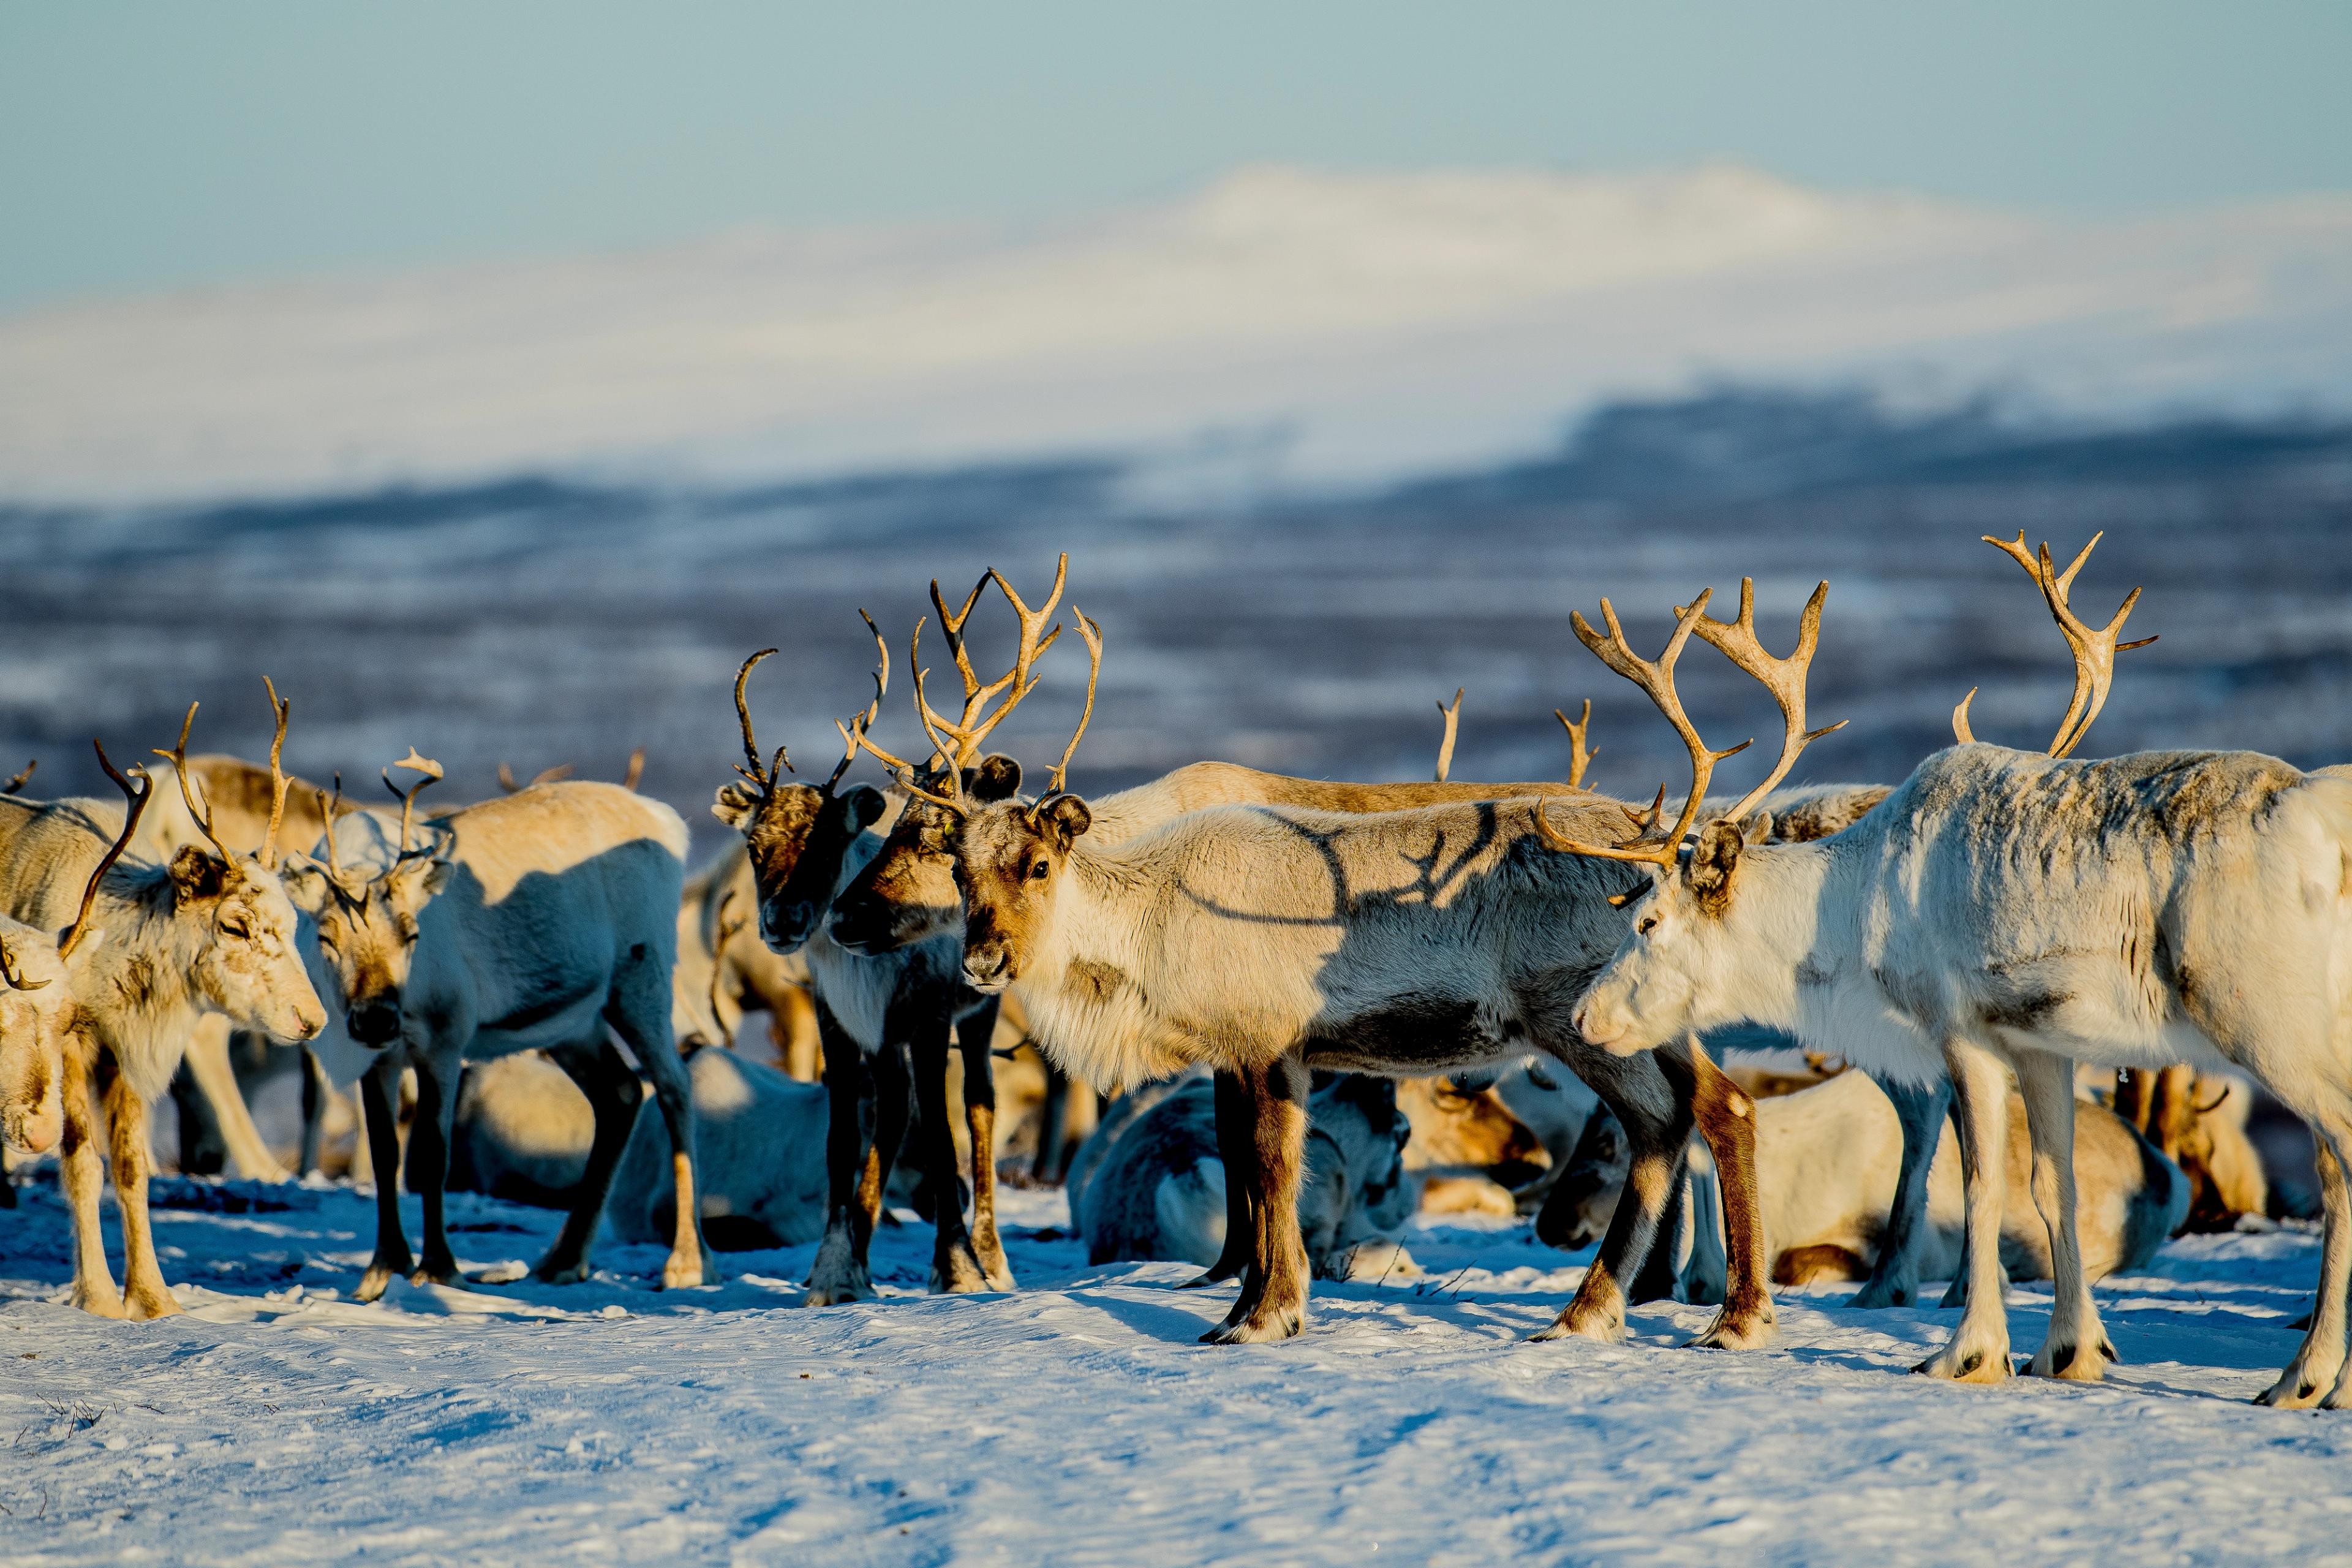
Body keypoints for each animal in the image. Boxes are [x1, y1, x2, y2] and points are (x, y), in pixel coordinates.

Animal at [0, 694, 328, 1317]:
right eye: (235, 925)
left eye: (293, 921)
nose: (312, 1020)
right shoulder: (71, 1048)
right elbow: (83, 1164)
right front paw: (99, 1297)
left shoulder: (124, 1054)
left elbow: (133, 1169)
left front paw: (154, 1300)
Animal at [281, 755, 718, 1299]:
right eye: (326, 936)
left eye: (412, 933)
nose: (378, 1017)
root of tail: (668, 820)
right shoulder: (378, 1059)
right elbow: (385, 1154)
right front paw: (382, 1269)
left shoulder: (444, 1039)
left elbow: (432, 1152)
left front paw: (438, 1268)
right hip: (575, 1022)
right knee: (620, 1093)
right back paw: (563, 1259)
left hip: (642, 979)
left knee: (674, 1086)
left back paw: (687, 1263)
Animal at [1549, 541, 2352, 1401]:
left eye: (1648, 922)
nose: (1584, 1016)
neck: (1853, 902)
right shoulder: (2044, 1045)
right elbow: (2053, 1185)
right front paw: (2070, 1351)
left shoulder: (1962, 1032)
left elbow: (1979, 1186)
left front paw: (1968, 1352)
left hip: (2267, 1019)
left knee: (2339, 1155)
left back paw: (2306, 1377)